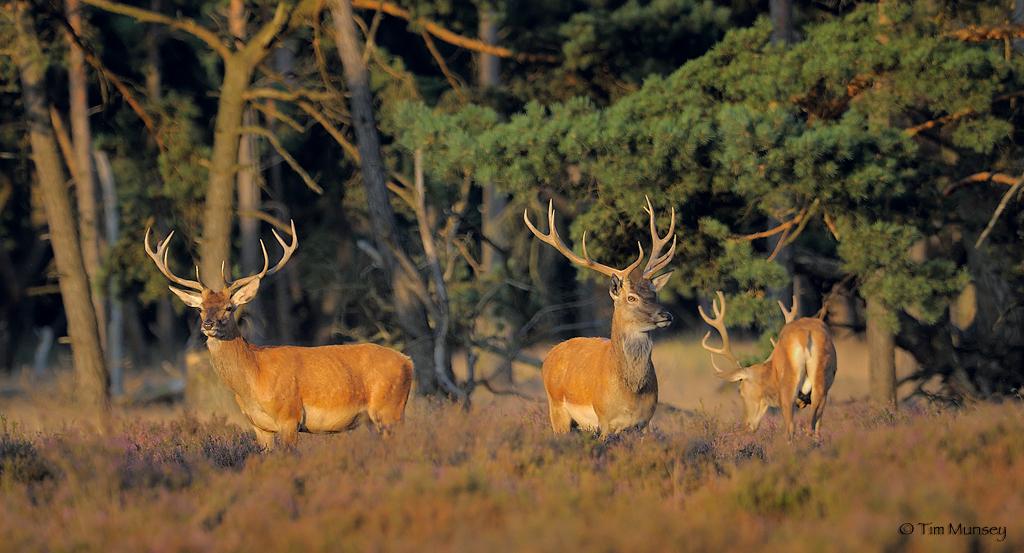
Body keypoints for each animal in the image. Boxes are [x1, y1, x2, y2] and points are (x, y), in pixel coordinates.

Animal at [143, 221, 411, 448]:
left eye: (229, 308)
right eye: (200, 308)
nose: (208, 324)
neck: (253, 378)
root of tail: (408, 362)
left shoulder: (289, 416)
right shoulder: (259, 427)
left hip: (390, 409)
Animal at [524, 197, 675, 436]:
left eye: (654, 294)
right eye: (631, 298)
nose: (666, 315)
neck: (631, 394)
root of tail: (549, 354)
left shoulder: (644, 423)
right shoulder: (605, 421)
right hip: (556, 409)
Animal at [700, 290, 835, 438]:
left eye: (740, 391)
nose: (746, 424)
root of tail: (805, 335)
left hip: (788, 385)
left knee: (791, 427)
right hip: (824, 381)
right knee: (815, 425)